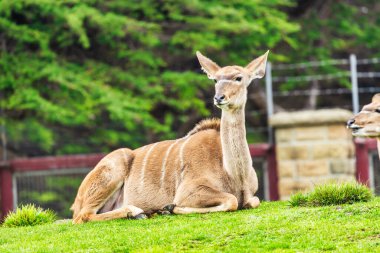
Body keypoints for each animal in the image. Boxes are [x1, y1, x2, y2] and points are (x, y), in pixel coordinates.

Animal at [70, 50, 268, 223]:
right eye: (215, 79)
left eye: (238, 78)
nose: (219, 98)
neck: (233, 174)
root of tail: (76, 201)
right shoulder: (188, 191)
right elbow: (231, 200)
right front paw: (169, 208)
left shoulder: (251, 196)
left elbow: (253, 201)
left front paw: (166, 209)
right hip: (114, 166)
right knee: (83, 216)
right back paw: (136, 212)